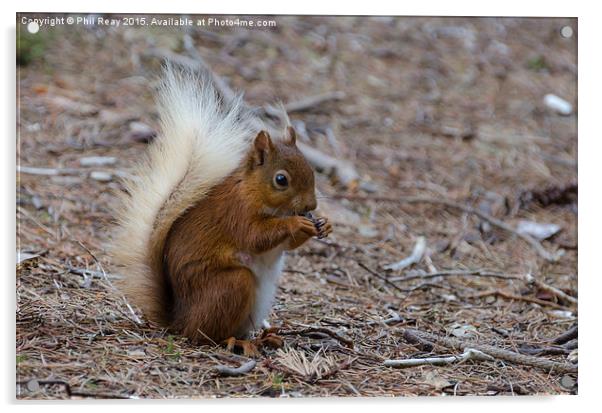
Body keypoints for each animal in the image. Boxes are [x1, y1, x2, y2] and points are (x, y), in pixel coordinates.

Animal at [110, 63, 330, 354]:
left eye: (311, 169)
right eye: (281, 180)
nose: (311, 206)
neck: (254, 191)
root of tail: (179, 320)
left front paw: (323, 224)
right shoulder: (237, 213)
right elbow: (256, 237)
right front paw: (297, 223)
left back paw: (264, 337)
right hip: (231, 285)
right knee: (204, 335)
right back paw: (236, 341)